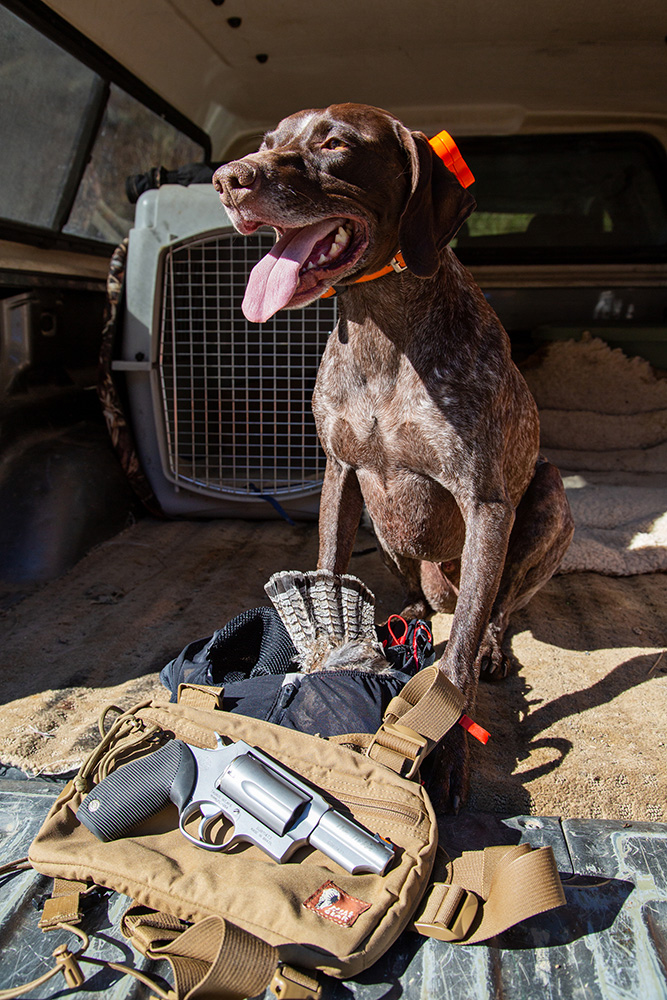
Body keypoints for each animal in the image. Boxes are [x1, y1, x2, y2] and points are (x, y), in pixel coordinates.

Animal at [215, 103, 576, 804]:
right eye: (269, 141)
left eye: (334, 143)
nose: (227, 179)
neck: (382, 327)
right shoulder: (342, 473)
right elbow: (327, 574)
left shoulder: (486, 503)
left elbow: (455, 662)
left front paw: (446, 749)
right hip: (390, 533)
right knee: (425, 597)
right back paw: (408, 615)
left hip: (547, 502)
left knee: (494, 609)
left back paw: (488, 645)